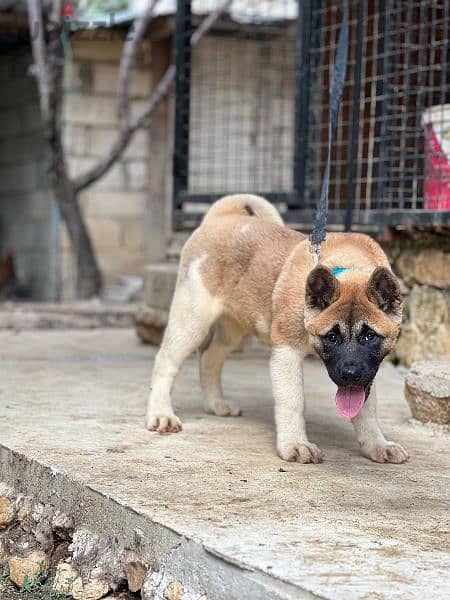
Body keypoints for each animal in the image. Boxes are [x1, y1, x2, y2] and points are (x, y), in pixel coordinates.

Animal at [146, 195, 410, 466]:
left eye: (369, 336)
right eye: (332, 337)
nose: (349, 374)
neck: (349, 268)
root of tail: (221, 217)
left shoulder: (369, 369)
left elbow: (367, 408)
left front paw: (377, 444)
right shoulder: (287, 351)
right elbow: (293, 401)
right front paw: (295, 444)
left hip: (232, 329)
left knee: (209, 358)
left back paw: (216, 404)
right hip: (191, 320)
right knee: (165, 362)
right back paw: (161, 413)